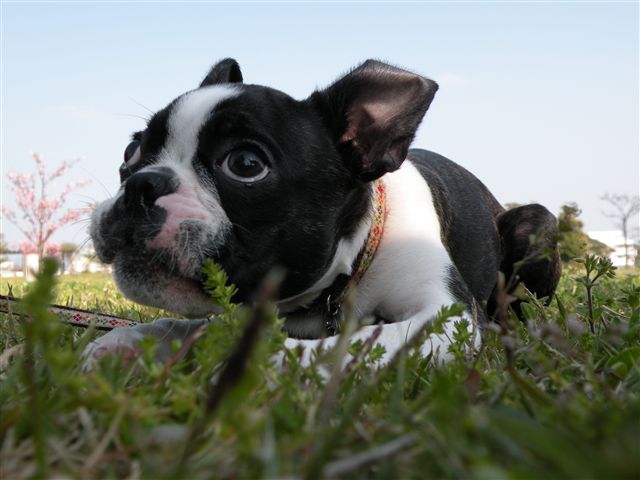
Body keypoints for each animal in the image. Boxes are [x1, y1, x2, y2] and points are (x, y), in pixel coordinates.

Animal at [85, 58, 560, 368]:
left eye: (246, 164)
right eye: (132, 150)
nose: (141, 185)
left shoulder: (445, 316)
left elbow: (334, 348)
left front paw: (245, 361)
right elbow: (182, 324)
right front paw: (128, 341)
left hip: (534, 227)